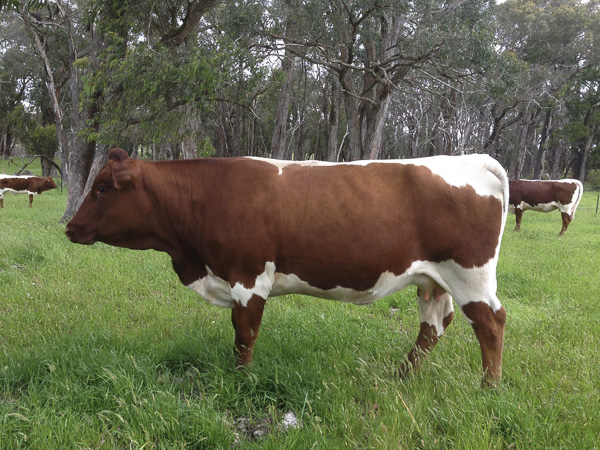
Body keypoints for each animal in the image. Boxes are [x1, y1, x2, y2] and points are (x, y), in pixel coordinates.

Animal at [64, 149, 506, 386]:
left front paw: (240, 379)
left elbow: (244, 333)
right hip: (433, 279)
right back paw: (401, 377)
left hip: (470, 275)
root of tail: (475, 160)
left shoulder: (248, 277)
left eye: (101, 188)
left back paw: (489, 387)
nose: (70, 227)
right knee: (434, 324)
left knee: (490, 323)